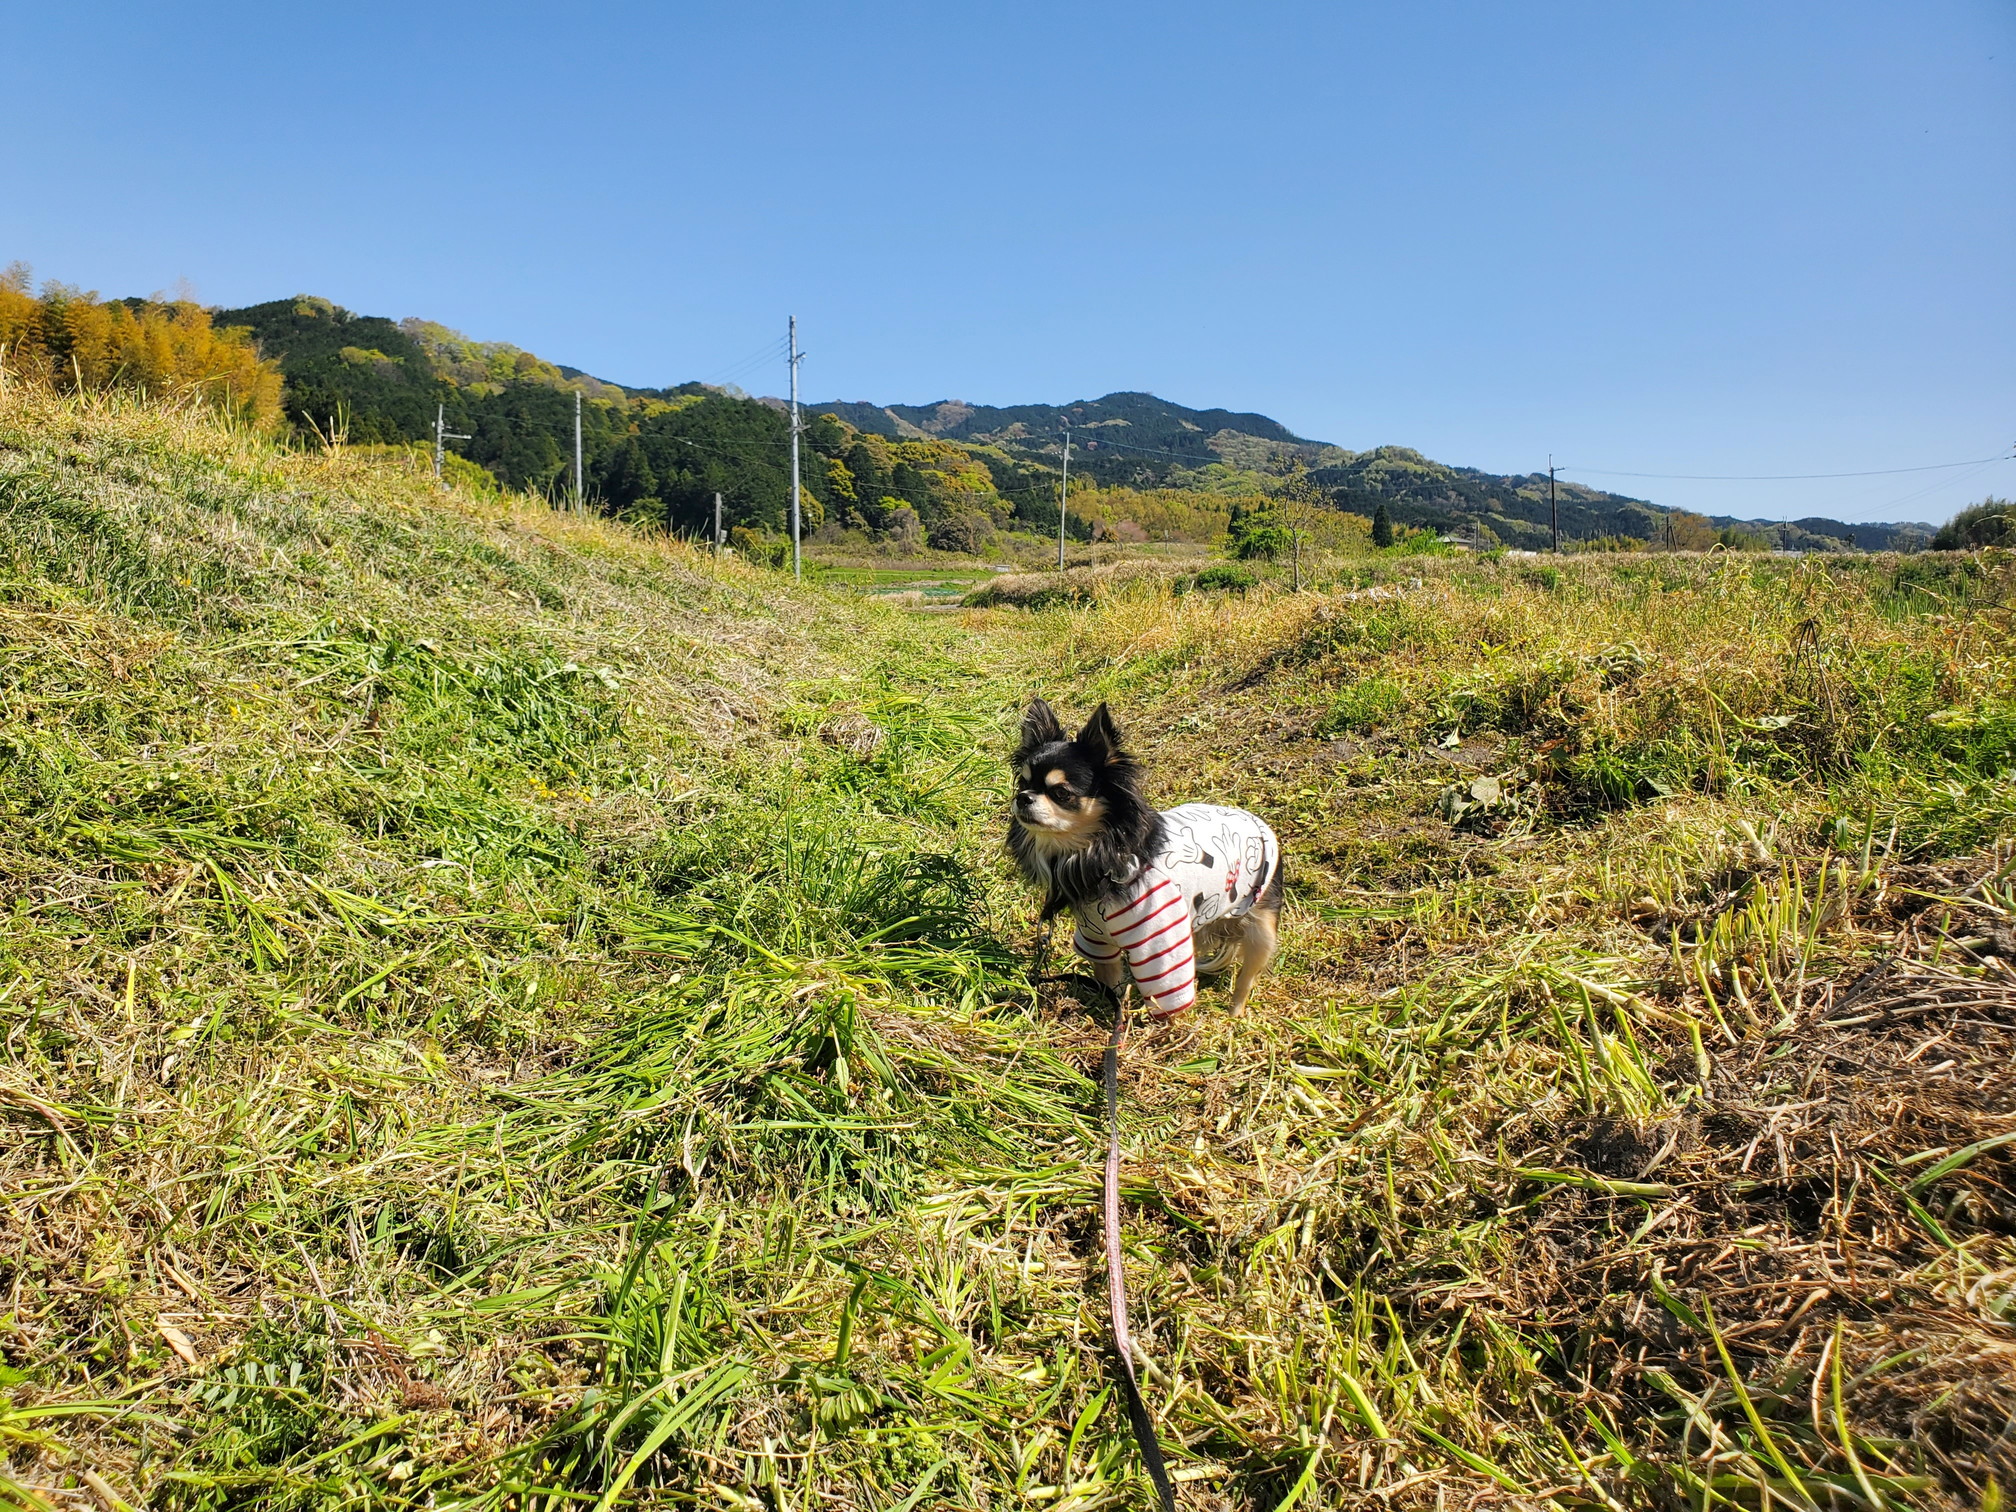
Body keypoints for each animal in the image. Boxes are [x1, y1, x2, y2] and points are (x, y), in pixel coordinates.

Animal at [1003, 697, 1282, 1020]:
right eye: (1023, 784)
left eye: (1061, 793)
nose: (1022, 798)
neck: (1099, 855)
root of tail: (1258, 822)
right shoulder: (1097, 938)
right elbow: (1111, 985)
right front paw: (1115, 1016)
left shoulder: (1161, 942)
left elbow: (1168, 996)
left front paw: (1165, 1026)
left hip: (1260, 927)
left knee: (1247, 976)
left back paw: (1235, 1014)